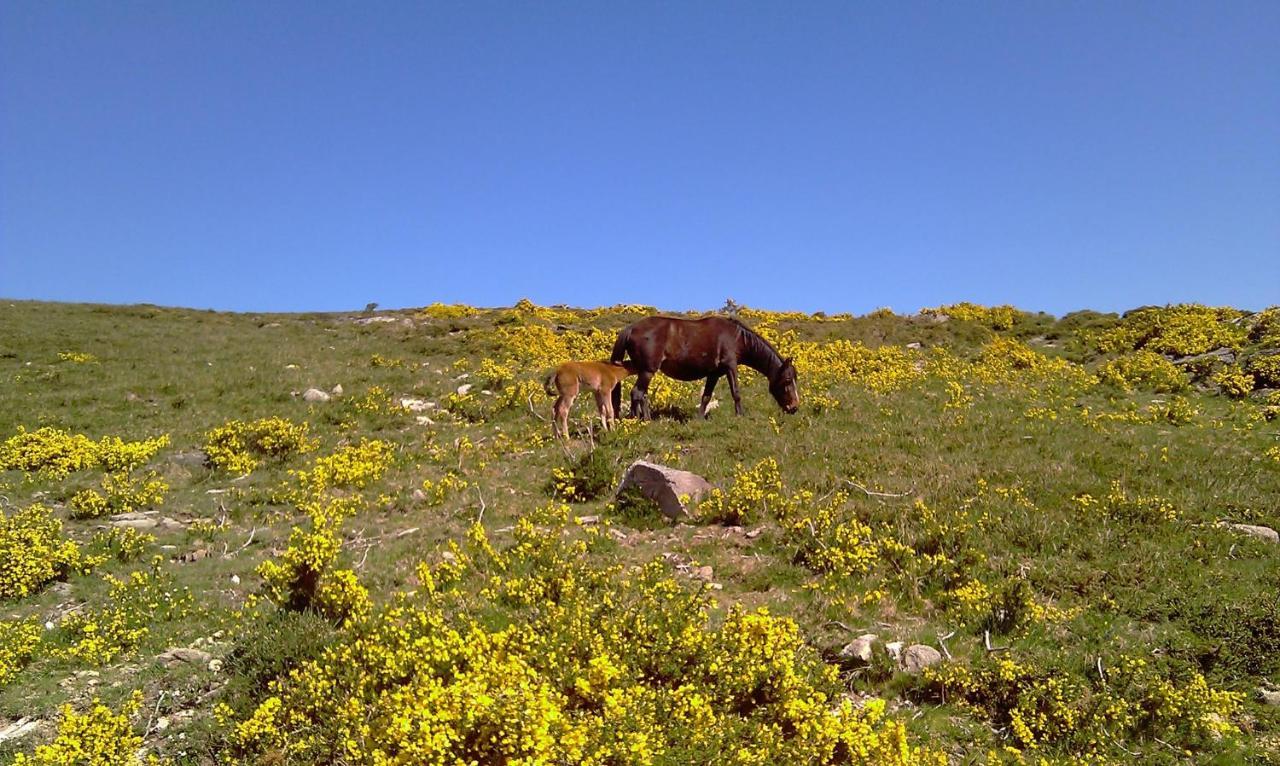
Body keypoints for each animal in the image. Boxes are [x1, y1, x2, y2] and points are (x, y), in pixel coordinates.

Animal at [609, 316, 798, 422]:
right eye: (787, 381)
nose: (794, 408)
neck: (737, 338)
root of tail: (630, 329)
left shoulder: (714, 374)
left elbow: (706, 396)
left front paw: (699, 418)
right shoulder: (730, 366)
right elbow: (736, 392)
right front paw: (740, 416)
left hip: (644, 370)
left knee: (642, 394)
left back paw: (642, 418)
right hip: (648, 370)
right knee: (637, 393)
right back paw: (638, 420)